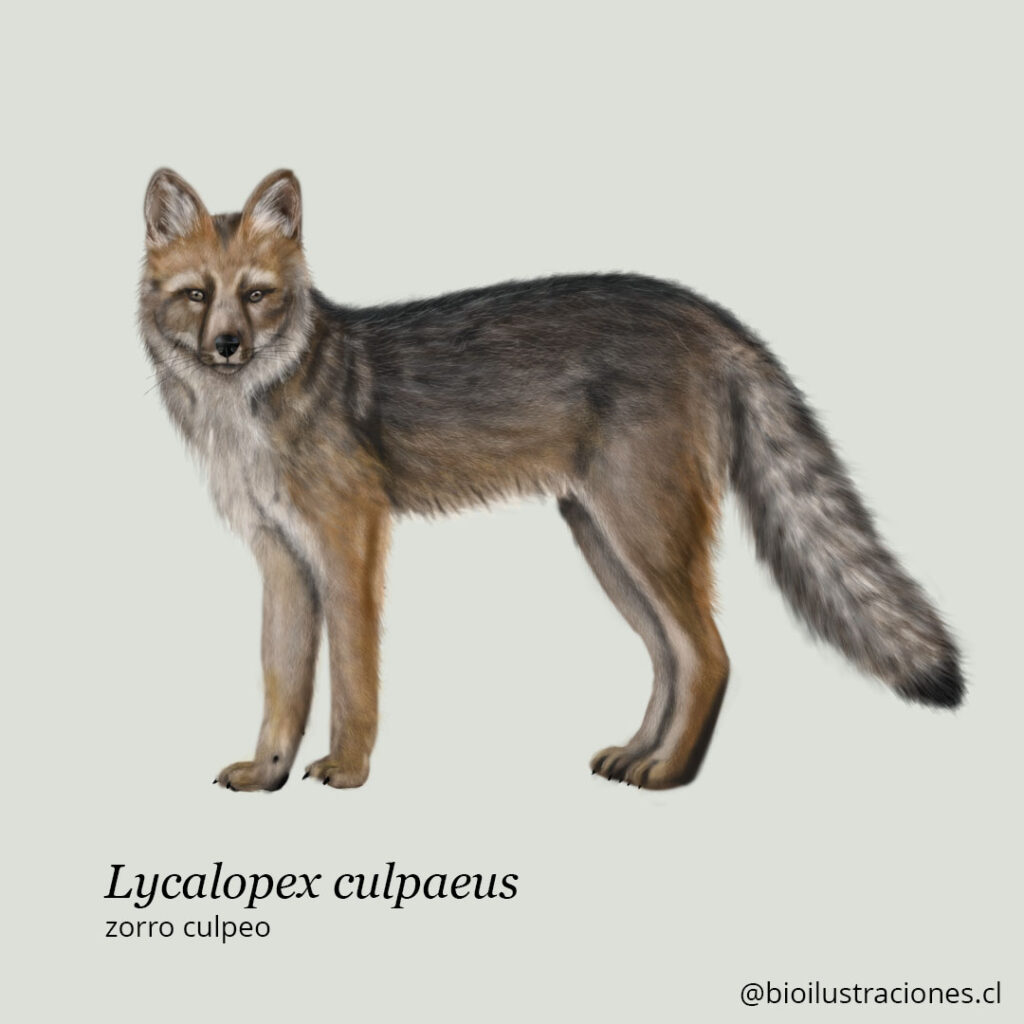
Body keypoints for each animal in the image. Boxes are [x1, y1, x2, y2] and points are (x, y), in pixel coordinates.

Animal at [139, 168, 963, 792]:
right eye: (196, 295)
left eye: (255, 294)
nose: (227, 345)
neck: (248, 414)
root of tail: (705, 312)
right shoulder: (281, 559)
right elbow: (283, 686)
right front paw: (267, 773)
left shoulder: (351, 543)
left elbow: (352, 678)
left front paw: (347, 767)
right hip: (607, 543)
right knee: (674, 657)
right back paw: (642, 754)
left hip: (643, 538)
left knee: (711, 656)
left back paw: (670, 775)